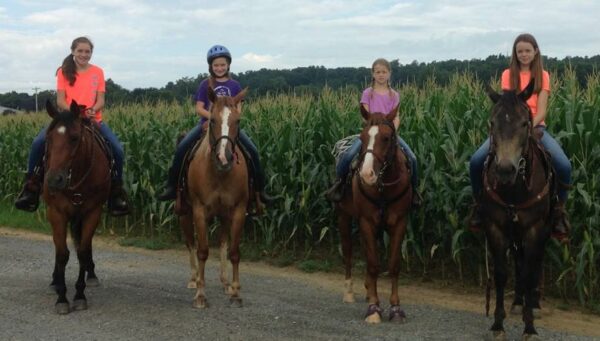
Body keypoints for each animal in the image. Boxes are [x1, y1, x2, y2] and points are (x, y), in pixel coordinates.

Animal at [42, 99, 111, 312]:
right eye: (49, 138)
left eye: (74, 138)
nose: (54, 180)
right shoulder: (56, 213)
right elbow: (62, 254)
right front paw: (62, 297)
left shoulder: (92, 212)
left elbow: (82, 251)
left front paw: (80, 295)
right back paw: (54, 282)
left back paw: (92, 275)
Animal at [182, 86, 250, 306]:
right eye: (212, 120)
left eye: (238, 121)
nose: (224, 158)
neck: (219, 173)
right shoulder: (199, 211)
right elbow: (202, 251)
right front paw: (200, 294)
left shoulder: (237, 210)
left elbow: (234, 252)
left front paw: (235, 292)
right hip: (184, 213)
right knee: (190, 243)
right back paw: (193, 279)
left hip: (224, 215)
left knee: (222, 242)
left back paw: (225, 282)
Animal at [332, 105, 412, 322]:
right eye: (362, 136)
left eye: (387, 138)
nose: (367, 174)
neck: (384, 186)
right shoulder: (366, 221)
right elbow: (374, 264)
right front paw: (374, 309)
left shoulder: (400, 221)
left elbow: (393, 264)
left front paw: (395, 308)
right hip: (343, 216)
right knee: (349, 251)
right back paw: (349, 292)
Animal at [480, 81, 556, 338]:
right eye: (492, 123)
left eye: (524, 123)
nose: (505, 170)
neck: (515, 190)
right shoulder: (496, 227)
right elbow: (502, 274)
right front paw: (497, 324)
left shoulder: (535, 229)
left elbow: (530, 273)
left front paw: (530, 326)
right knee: (519, 262)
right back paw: (517, 302)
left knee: (535, 264)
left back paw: (533, 303)